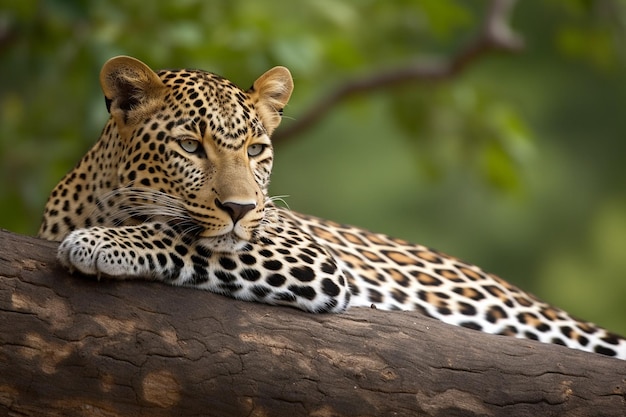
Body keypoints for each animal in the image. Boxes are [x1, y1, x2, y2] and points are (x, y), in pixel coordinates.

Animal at [39, 55, 624, 358]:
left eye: (256, 150)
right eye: (189, 146)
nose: (240, 207)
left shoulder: (306, 255)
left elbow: (181, 238)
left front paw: (101, 243)